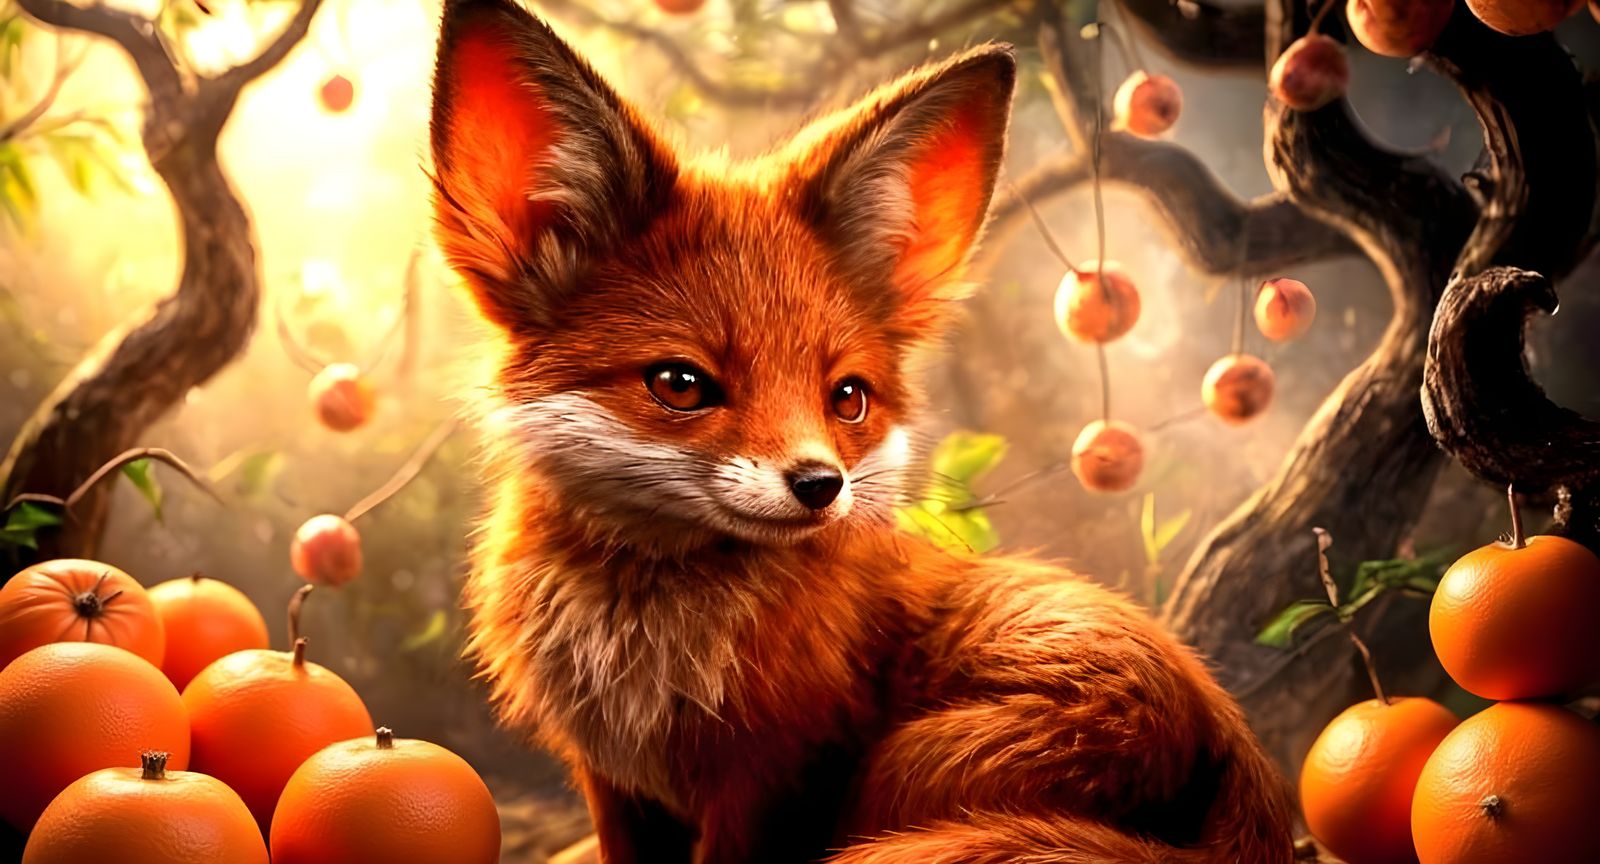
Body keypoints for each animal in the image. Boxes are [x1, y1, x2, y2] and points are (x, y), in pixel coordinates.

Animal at [427, 0, 1295, 861]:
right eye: (680, 384)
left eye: (847, 398)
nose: (820, 485)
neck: (644, 657)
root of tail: (1230, 743)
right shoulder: (616, 783)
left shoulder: (772, 782)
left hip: (906, 770)